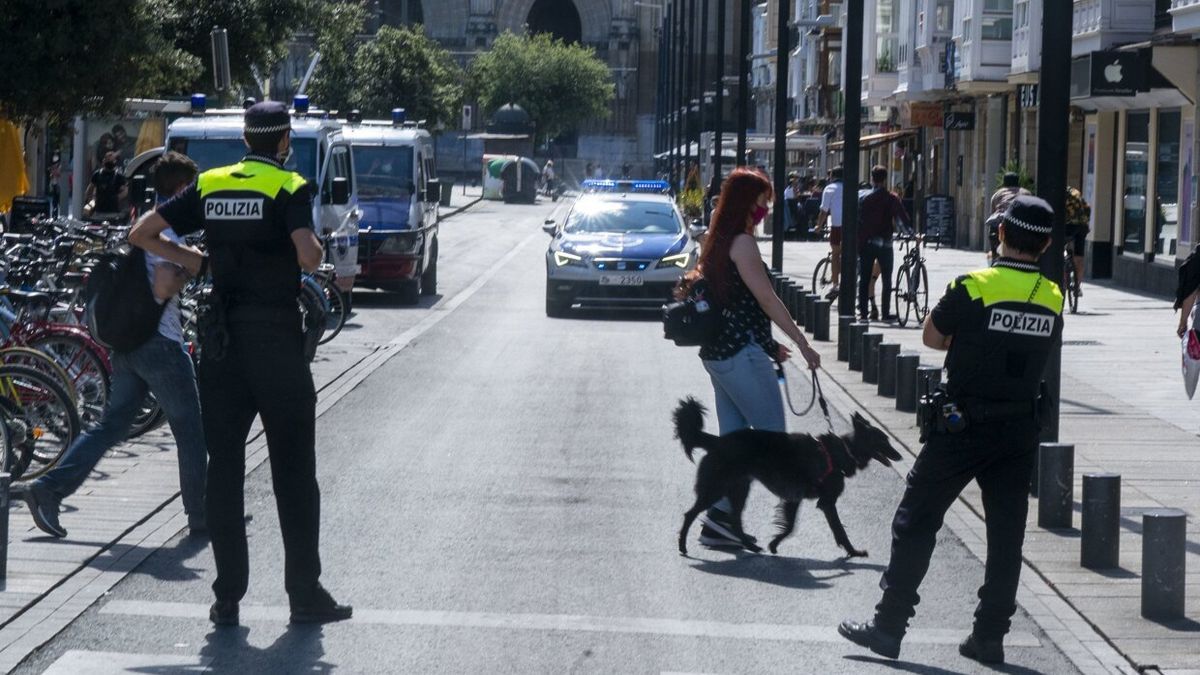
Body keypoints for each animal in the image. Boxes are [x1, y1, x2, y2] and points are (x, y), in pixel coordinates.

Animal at [676, 396, 902, 554]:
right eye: (884, 441)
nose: (899, 456)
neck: (845, 450)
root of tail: (716, 441)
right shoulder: (825, 501)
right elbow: (837, 530)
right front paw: (853, 552)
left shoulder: (796, 498)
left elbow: (791, 526)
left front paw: (774, 543)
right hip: (716, 488)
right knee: (691, 514)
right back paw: (683, 546)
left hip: (738, 489)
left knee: (735, 521)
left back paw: (751, 546)